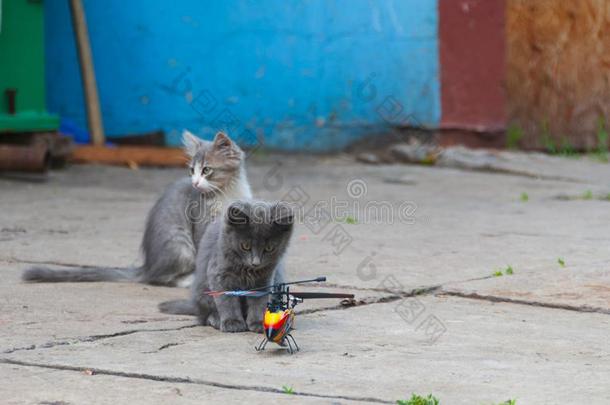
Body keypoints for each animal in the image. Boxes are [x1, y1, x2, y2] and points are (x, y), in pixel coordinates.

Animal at [21, 131, 249, 286]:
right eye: (192, 171)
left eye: (207, 170)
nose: (195, 183)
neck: (227, 193)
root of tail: (147, 266)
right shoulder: (201, 225)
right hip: (180, 245)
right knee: (158, 278)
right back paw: (186, 280)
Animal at [158, 199, 294, 332]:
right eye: (245, 246)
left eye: (269, 248)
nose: (255, 263)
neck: (247, 270)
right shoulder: (220, 275)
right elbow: (228, 301)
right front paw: (232, 322)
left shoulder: (265, 280)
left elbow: (260, 302)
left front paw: (259, 322)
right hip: (202, 292)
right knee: (205, 316)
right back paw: (215, 319)